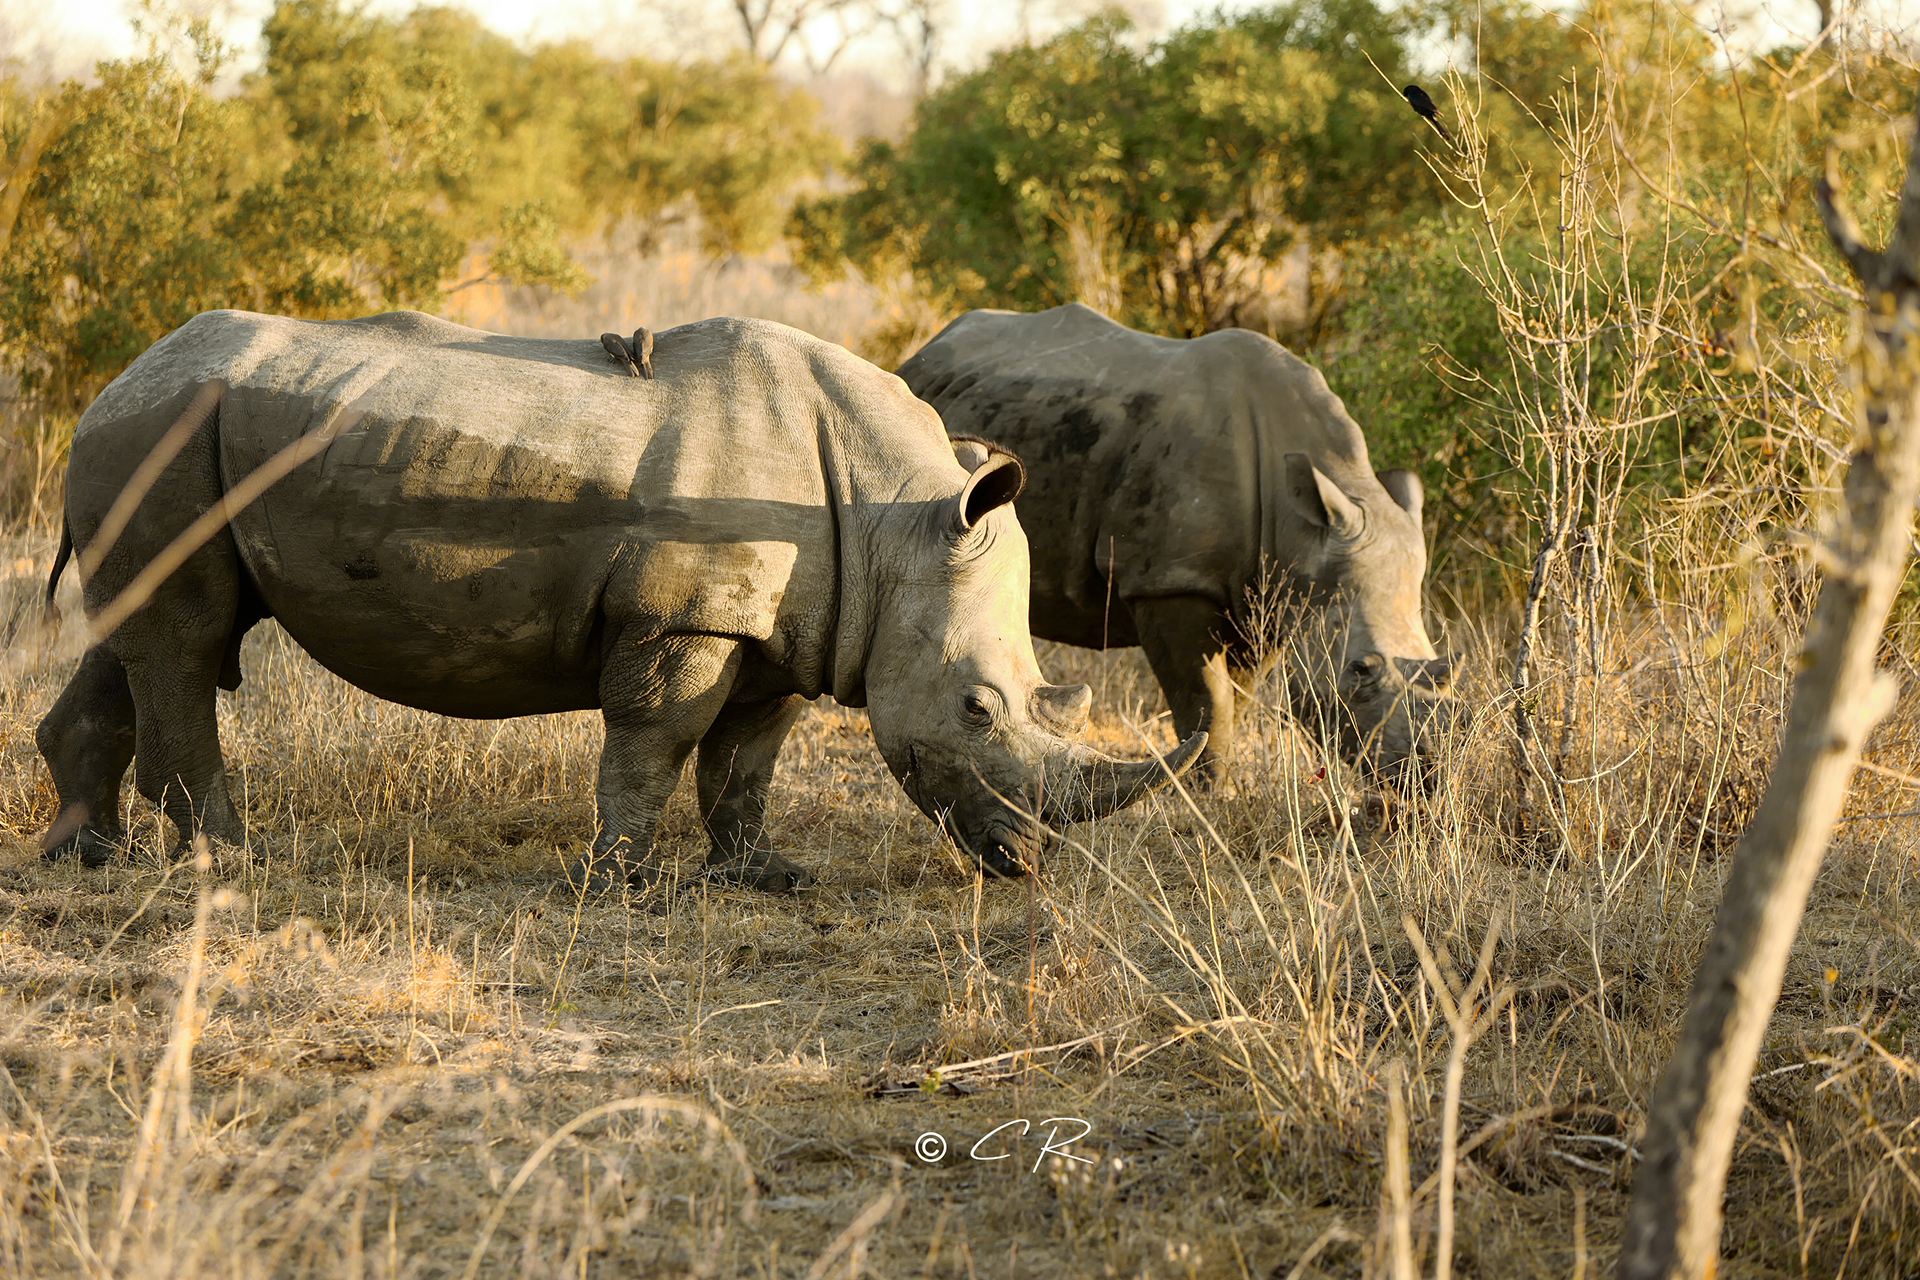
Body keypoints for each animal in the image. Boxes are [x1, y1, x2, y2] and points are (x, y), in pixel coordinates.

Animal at [37, 310, 1198, 890]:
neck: (893, 515)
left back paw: (88, 855)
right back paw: (225, 860)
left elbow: (748, 755)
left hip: (166, 435)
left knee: (147, 637)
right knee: (186, 641)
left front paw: (762, 875)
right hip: (164, 431)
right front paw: (624, 880)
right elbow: (659, 735)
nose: (1025, 863)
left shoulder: (797, 623)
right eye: (977, 709)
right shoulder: (687, 615)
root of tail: (116, 376)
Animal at [898, 307, 1451, 794]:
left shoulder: (1269, 598)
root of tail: (925, 350)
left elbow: (1238, 696)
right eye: (1360, 671)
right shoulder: (1170, 579)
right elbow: (1205, 698)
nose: (1423, 774)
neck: (1302, 530)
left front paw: (1219, 785)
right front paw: (1207, 793)